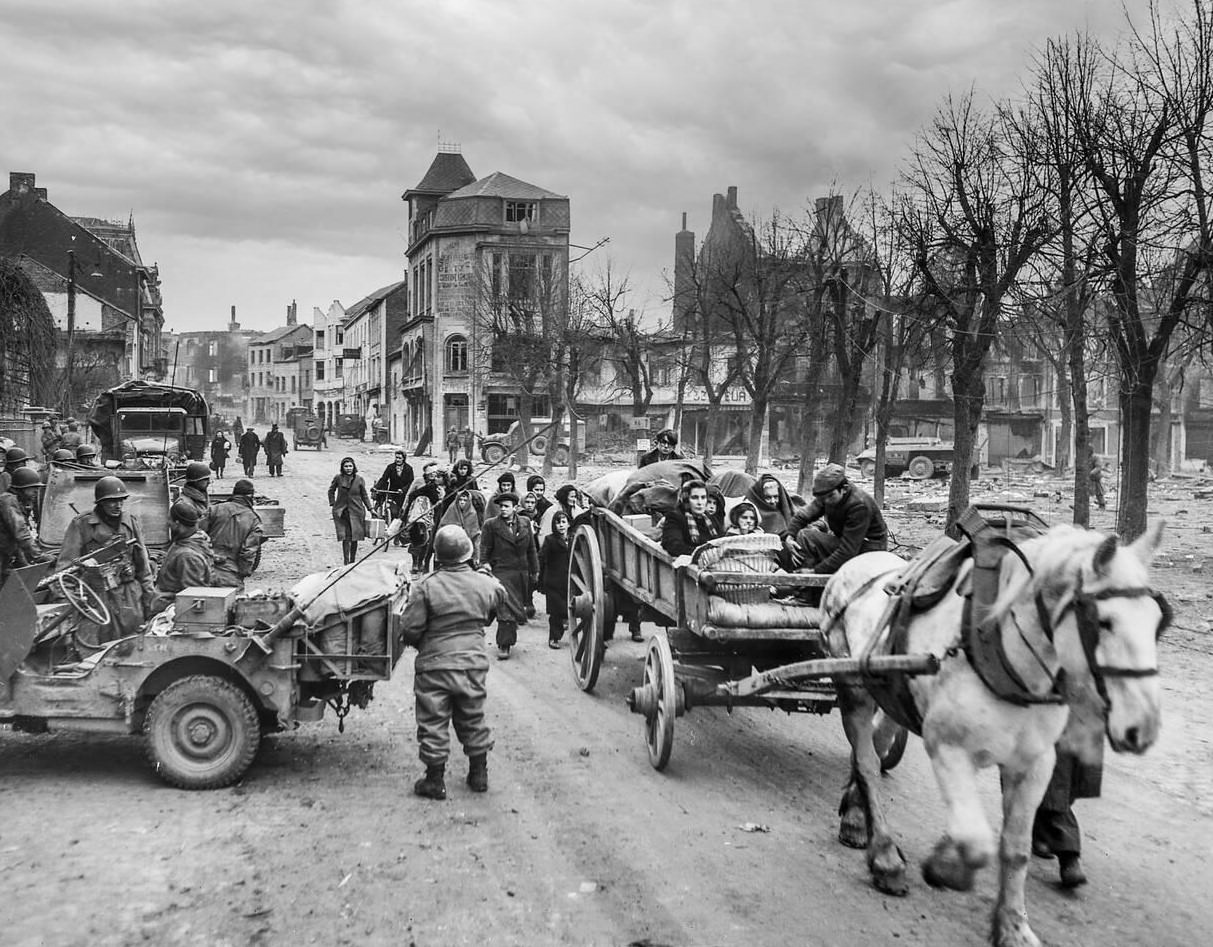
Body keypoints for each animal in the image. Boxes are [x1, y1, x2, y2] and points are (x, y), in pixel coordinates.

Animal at [824, 521, 1164, 940]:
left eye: (1158, 621)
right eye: (1104, 622)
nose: (1142, 727)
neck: (1002, 651)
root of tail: (856, 565)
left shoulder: (1035, 763)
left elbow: (1015, 849)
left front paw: (1013, 926)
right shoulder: (948, 748)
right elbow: (974, 841)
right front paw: (944, 865)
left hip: (890, 694)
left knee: (874, 745)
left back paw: (856, 817)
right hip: (853, 689)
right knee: (868, 764)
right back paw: (885, 857)